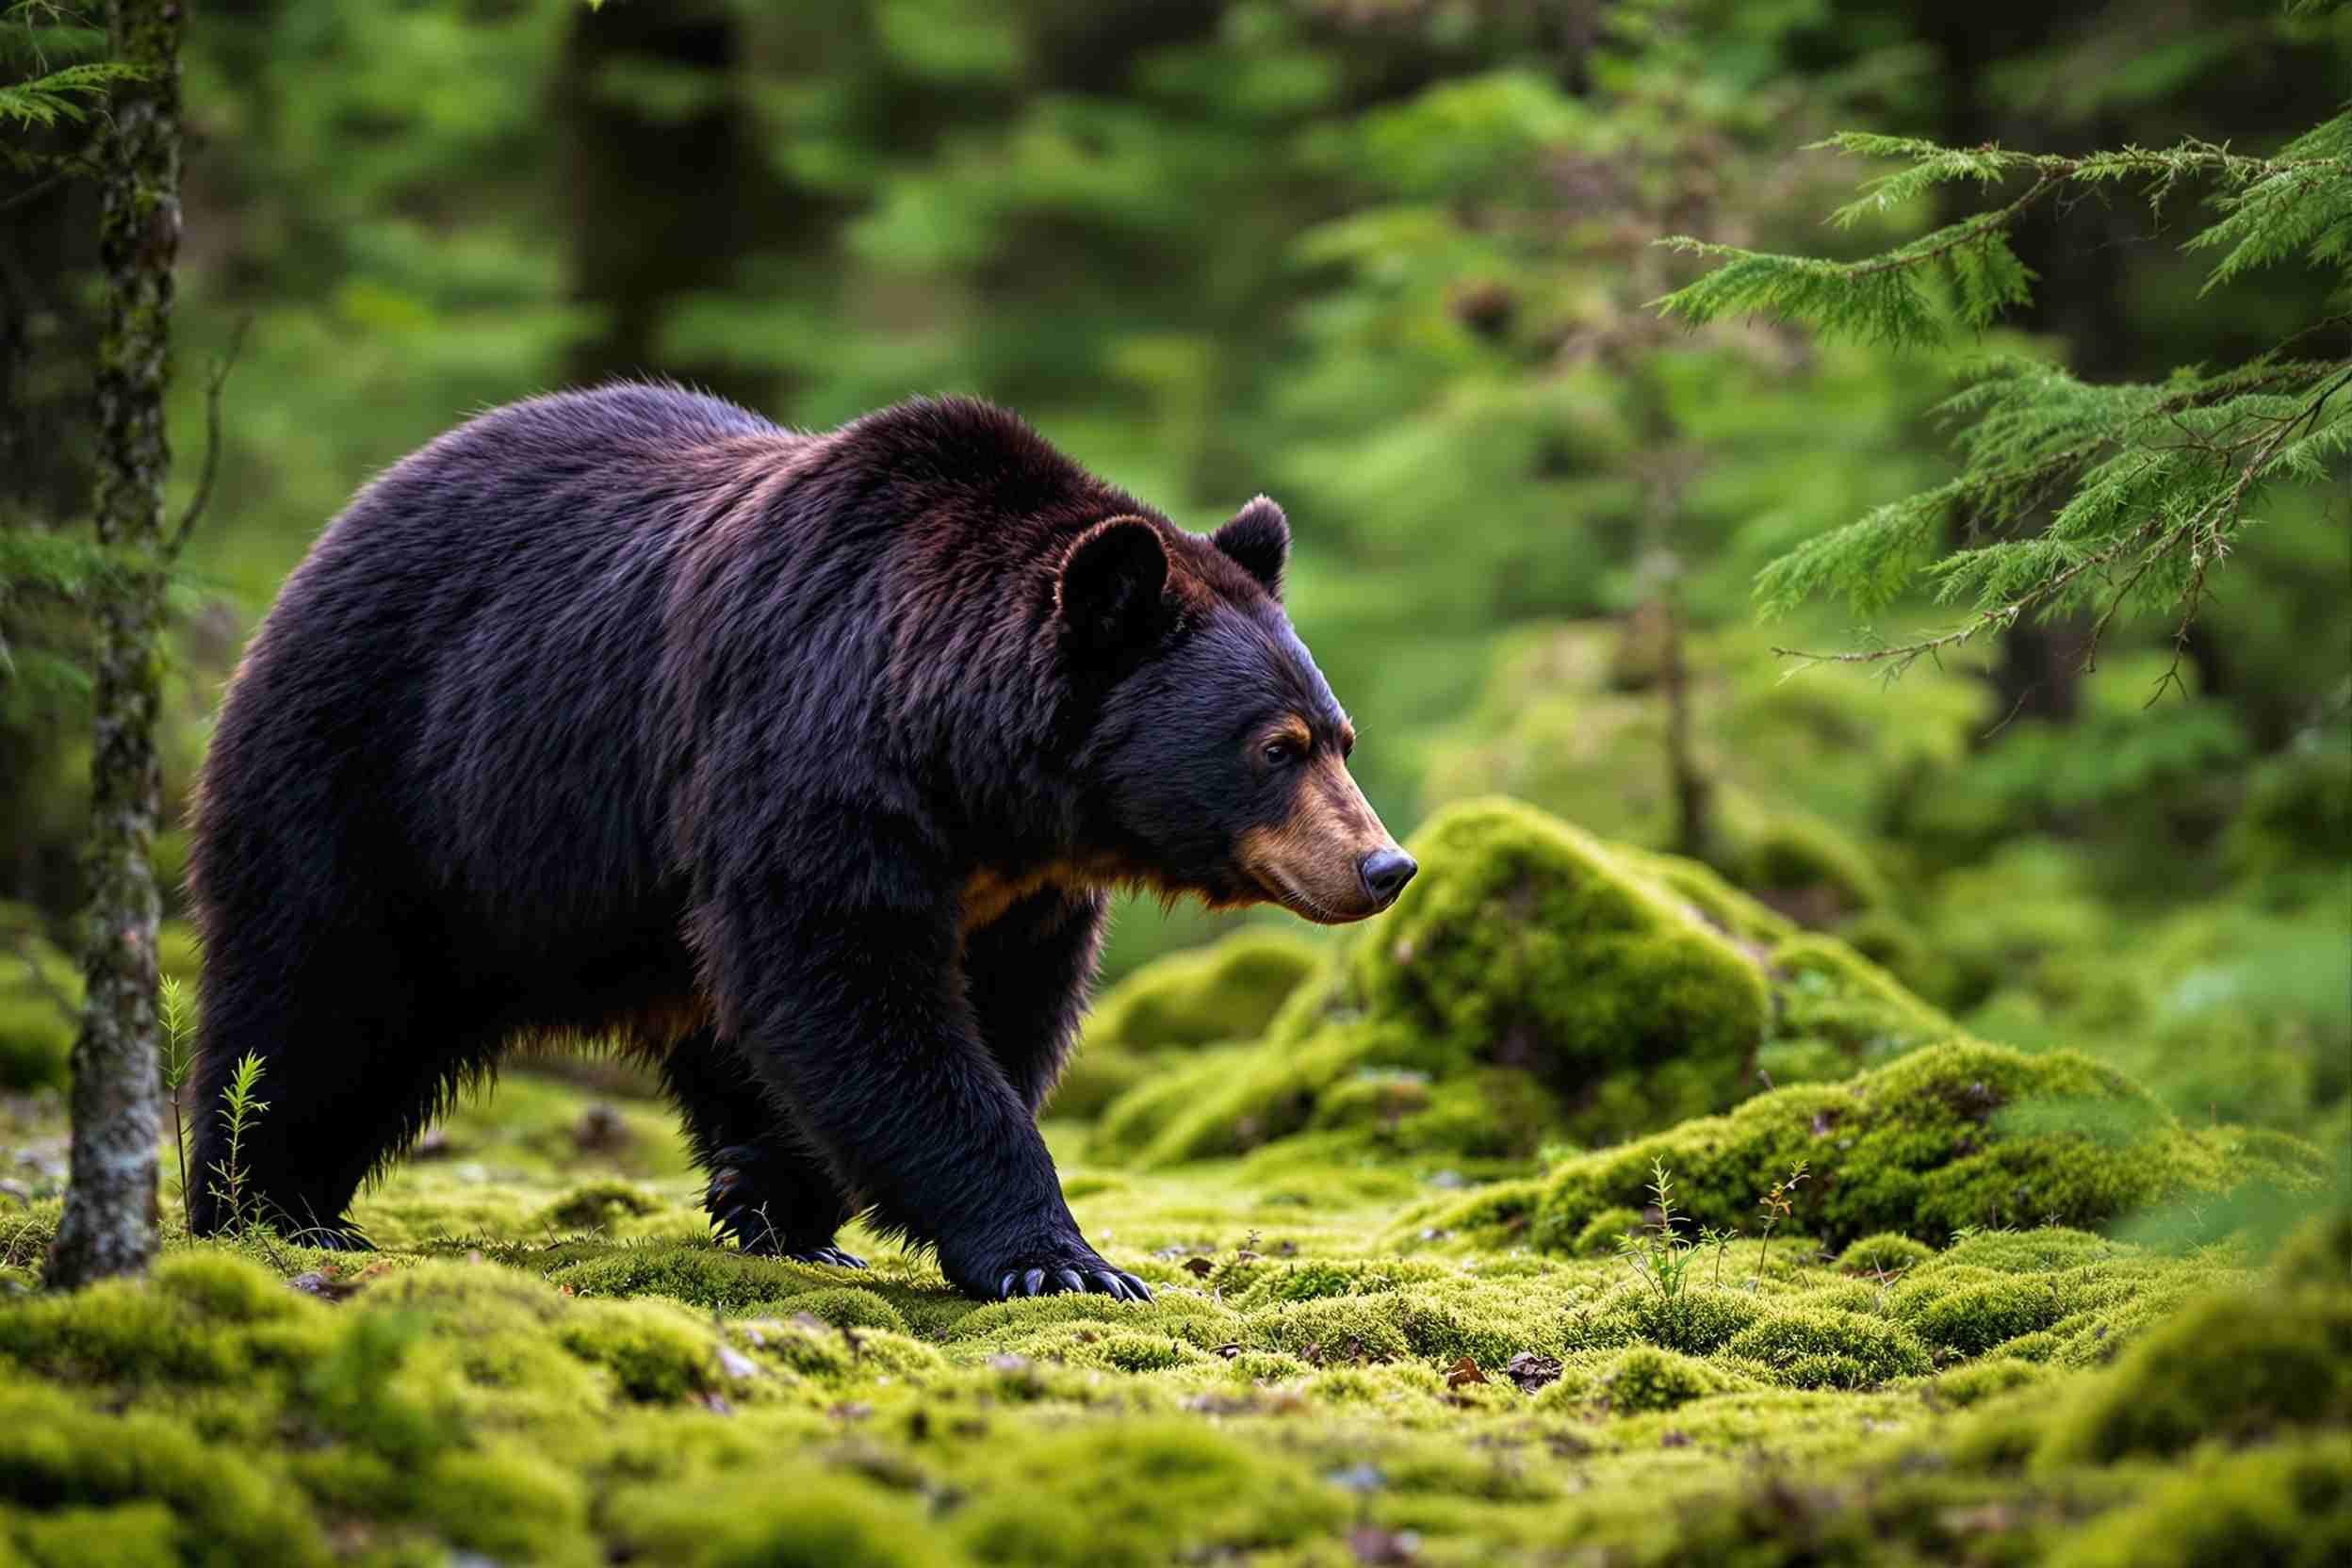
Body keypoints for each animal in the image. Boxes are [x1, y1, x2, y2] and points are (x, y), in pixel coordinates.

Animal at [185, 382, 1416, 1299]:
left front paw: (777, 1193)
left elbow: (984, 1010)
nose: (1384, 864)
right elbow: (848, 979)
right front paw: (1062, 1259)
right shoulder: (808, 751)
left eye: (1339, 735)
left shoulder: (1017, 887)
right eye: (1277, 745)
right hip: (388, 773)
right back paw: (268, 1206)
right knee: (314, 989)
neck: (972, 771)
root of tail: (341, 526)